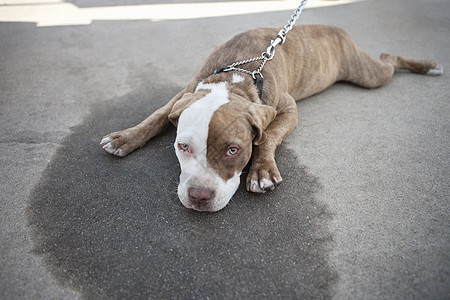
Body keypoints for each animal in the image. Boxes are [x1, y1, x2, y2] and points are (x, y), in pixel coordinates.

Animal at [99, 25, 442, 212]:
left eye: (233, 150)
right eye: (183, 147)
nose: (199, 196)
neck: (236, 77)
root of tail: (335, 28)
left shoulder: (287, 109)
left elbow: (269, 136)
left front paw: (261, 171)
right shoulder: (184, 94)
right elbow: (157, 115)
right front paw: (125, 137)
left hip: (369, 74)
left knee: (390, 59)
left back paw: (428, 66)